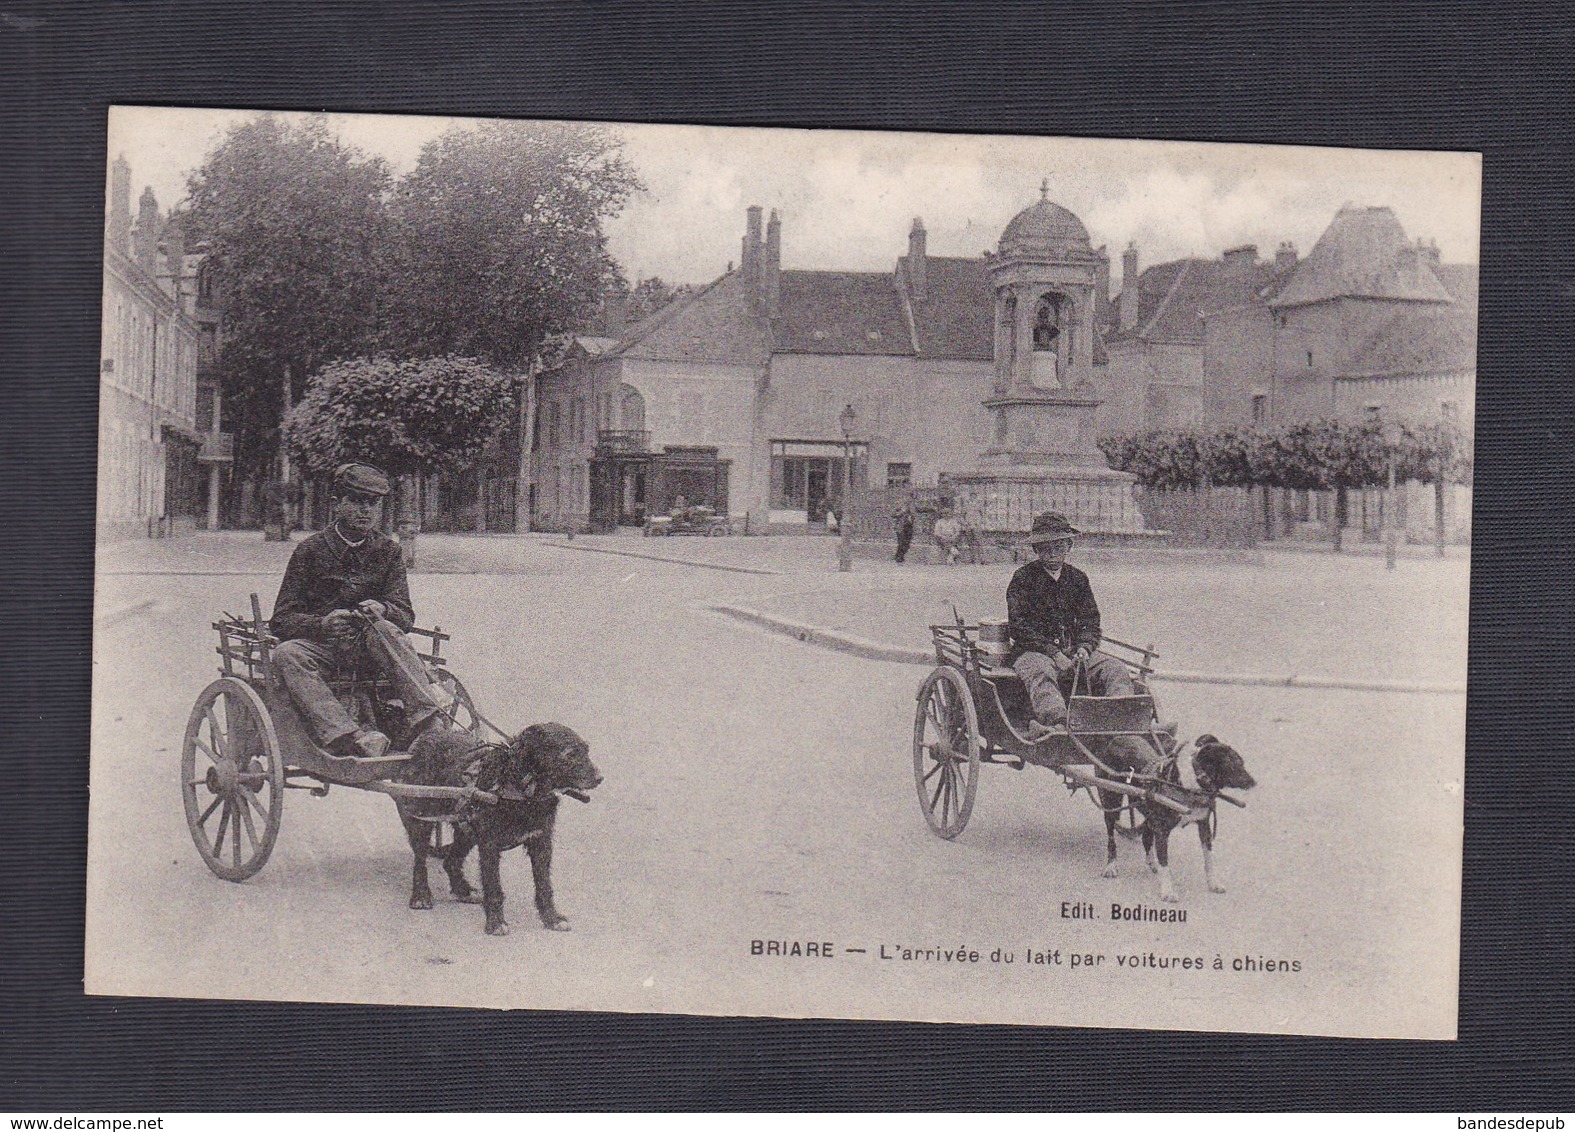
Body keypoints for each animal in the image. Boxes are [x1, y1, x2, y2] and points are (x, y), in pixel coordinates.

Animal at [396, 727, 604, 938]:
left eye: (586, 750)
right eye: (569, 754)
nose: (599, 778)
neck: (517, 787)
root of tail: (428, 735)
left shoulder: (541, 842)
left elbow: (544, 885)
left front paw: (551, 918)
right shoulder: (489, 845)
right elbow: (493, 886)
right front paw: (496, 922)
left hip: (465, 826)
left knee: (451, 860)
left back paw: (463, 890)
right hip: (422, 817)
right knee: (420, 860)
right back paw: (421, 895)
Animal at [1096, 733, 1253, 900]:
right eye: (1234, 764)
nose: (1253, 782)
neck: (1189, 786)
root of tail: (1117, 738)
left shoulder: (1204, 825)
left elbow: (1209, 858)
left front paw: (1214, 884)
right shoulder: (1162, 831)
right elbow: (1165, 862)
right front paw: (1168, 891)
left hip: (1145, 809)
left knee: (1146, 836)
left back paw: (1152, 862)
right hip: (1111, 802)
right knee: (1111, 836)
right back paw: (1111, 866)